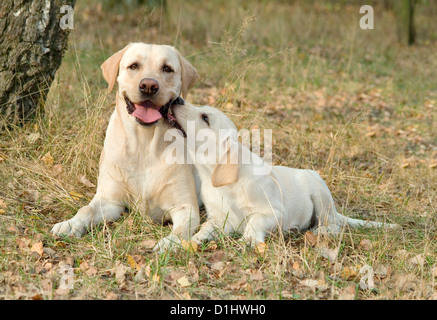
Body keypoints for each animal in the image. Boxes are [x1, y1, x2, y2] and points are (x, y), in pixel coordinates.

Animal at [51, 43, 199, 252]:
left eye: (167, 68)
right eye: (134, 66)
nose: (148, 86)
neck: (143, 144)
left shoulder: (185, 207)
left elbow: (181, 229)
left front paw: (170, 242)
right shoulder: (110, 201)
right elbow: (86, 209)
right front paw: (70, 224)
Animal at [169, 103, 400, 248]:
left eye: (205, 118)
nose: (177, 99)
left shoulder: (275, 213)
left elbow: (255, 220)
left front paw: (250, 238)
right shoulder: (221, 219)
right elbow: (207, 227)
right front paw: (197, 238)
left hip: (319, 190)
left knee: (333, 224)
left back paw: (319, 232)